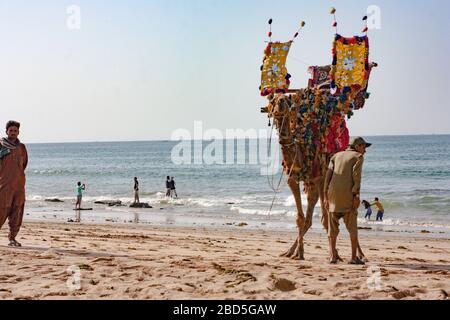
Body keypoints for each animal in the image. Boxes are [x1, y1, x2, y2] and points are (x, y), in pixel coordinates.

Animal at [258, 9, 378, 260]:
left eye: (286, 103)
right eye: (272, 102)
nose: (277, 109)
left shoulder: (319, 175)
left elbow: (320, 217)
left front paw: (313, 253)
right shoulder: (294, 179)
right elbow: (300, 217)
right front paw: (297, 252)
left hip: (322, 176)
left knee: (327, 213)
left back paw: (355, 254)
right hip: (315, 181)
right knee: (315, 212)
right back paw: (295, 250)